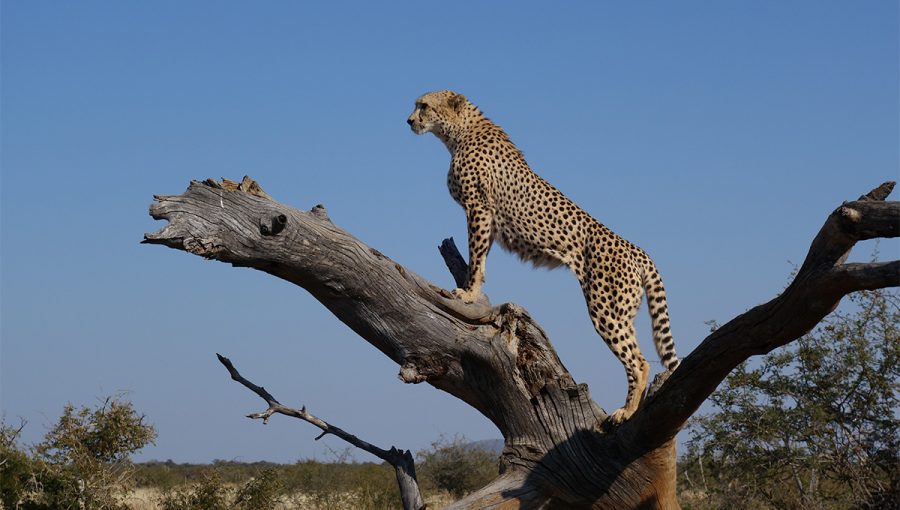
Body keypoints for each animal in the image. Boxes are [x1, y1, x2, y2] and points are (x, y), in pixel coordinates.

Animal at [410, 90, 684, 422]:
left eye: (424, 106)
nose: (409, 120)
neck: (459, 132)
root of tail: (638, 250)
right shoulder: (487, 218)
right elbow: (482, 258)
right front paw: (473, 289)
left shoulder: (478, 208)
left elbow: (476, 257)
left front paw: (467, 293)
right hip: (624, 310)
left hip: (606, 308)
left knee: (639, 361)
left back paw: (626, 411)